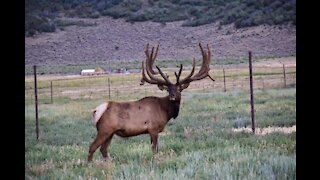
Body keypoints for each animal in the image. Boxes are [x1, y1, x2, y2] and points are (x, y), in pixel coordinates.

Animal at [87, 43, 215, 162]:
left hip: (110, 133)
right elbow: (155, 149)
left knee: (103, 149)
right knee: (92, 147)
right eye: (168, 89)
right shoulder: (153, 128)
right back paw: (90, 165)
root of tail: (96, 111)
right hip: (104, 130)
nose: (173, 96)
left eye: (179, 89)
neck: (165, 111)